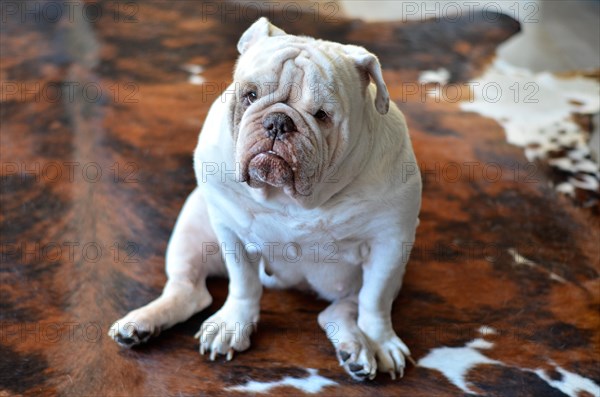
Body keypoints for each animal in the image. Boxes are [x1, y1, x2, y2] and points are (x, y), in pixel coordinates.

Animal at [110, 17, 424, 378]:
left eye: (322, 115)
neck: (292, 198)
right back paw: (141, 324)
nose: (278, 121)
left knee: (340, 309)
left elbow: (375, 301)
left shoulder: (389, 244)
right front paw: (233, 325)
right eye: (250, 95)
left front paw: (380, 341)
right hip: (192, 223)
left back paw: (356, 347)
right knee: (188, 289)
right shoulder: (229, 229)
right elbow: (243, 283)